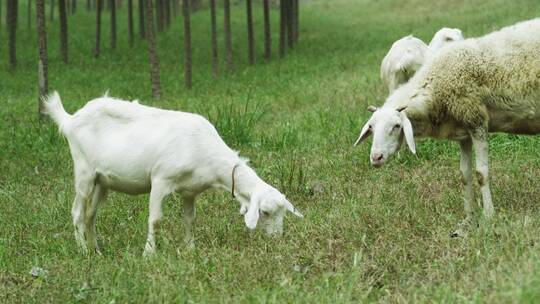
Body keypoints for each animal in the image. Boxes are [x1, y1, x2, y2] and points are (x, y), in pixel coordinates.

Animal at [42, 92, 304, 254]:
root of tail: (70, 119)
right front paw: (149, 253)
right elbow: (156, 219)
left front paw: (190, 249)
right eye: (265, 212)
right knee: (77, 212)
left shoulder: (190, 190)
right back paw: (83, 250)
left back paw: (96, 250)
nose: (277, 238)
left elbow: (190, 219)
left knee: (90, 215)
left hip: (102, 181)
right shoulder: (160, 180)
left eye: (282, 213)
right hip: (84, 171)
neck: (204, 150)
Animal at [356, 19, 536, 236]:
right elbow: (465, 175)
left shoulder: (476, 121)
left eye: (397, 126)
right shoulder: (464, 131)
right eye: (371, 127)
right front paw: (469, 220)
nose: (376, 158)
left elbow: (481, 174)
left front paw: (489, 217)